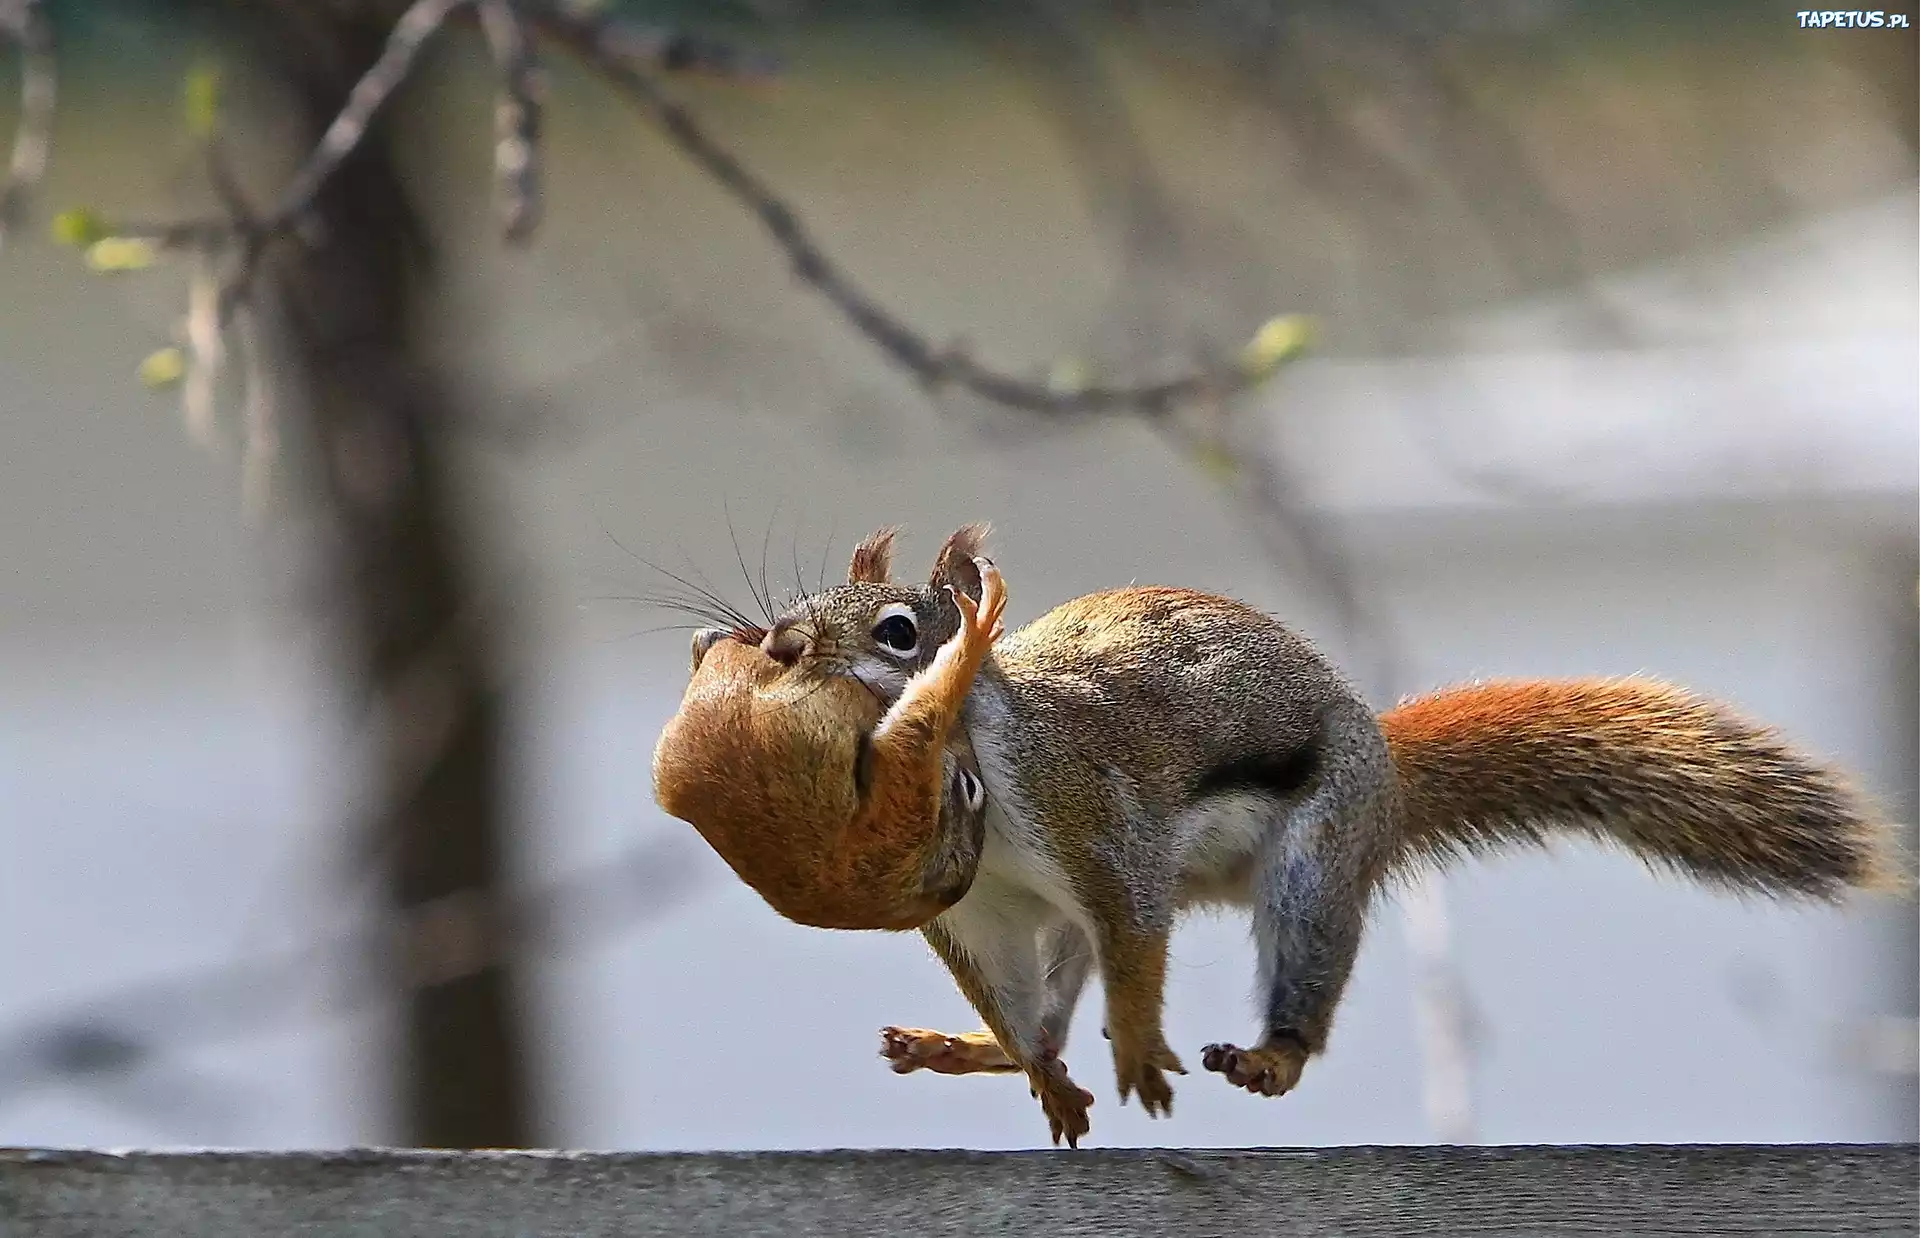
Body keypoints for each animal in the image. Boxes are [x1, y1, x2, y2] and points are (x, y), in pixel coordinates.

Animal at [652, 522, 1896, 1151]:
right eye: (802, 603)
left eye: (902, 631)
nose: (770, 642)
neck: (973, 775)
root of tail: (1385, 769)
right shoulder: (985, 910)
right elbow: (1016, 1000)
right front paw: (1046, 1072)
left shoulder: (1098, 821)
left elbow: (1136, 934)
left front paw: (1139, 1052)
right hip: (1065, 926)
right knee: (1046, 1002)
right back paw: (977, 1050)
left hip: (1315, 855)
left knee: (1286, 966)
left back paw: (1269, 1051)